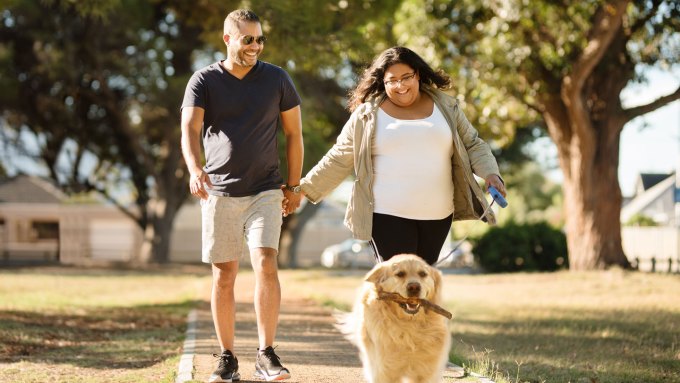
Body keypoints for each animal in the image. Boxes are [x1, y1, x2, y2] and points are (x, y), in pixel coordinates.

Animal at [336, 254, 452, 382]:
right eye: (400, 274)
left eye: (422, 274)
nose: (414, 287)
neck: (409, 325)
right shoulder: (385, 371)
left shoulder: (426, 371)